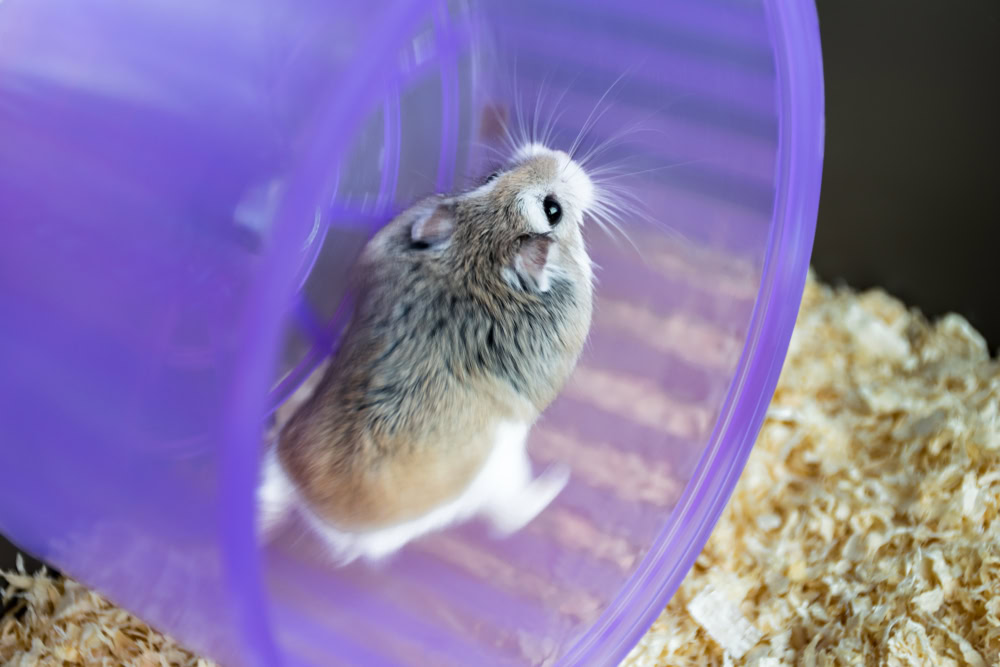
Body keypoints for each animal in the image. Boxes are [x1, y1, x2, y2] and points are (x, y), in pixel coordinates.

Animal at [258, 142, 596, 565]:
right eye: (553, 209)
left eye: (491, 176)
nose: (556, 153)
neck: (476, 254)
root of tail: (306, 499)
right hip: (502, 472)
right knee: (509, 519)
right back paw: (558, 480)